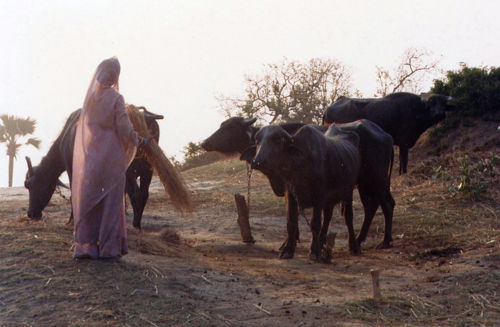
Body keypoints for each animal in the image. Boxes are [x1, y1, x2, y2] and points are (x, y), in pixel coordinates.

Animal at [24, 106, 163, 229]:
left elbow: (75, 193)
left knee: (136, 193)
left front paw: (72, 220)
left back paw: (135, 224)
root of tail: (146, 118)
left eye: (31, 184)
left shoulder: (72, 168)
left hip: (129, 170)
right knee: (143, 193)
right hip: (148, 168)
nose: (31, 213)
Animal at [202, 116, 394, 258]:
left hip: (375, 180)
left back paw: (383, 241)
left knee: (386, 205)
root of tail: (385, 135)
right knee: (373, 207)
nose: (204, 142)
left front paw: (290, 243)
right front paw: (292, 243)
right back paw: (361, 240)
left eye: (229, 127)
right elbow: (294, 218)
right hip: (366, 184)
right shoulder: (292, 190)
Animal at [322, 92, 456, 174]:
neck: (415, 110)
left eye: (443, 103)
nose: (440, 114)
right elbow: (404, 161)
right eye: (432, 103)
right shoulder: (404, 143)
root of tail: (328, 109)